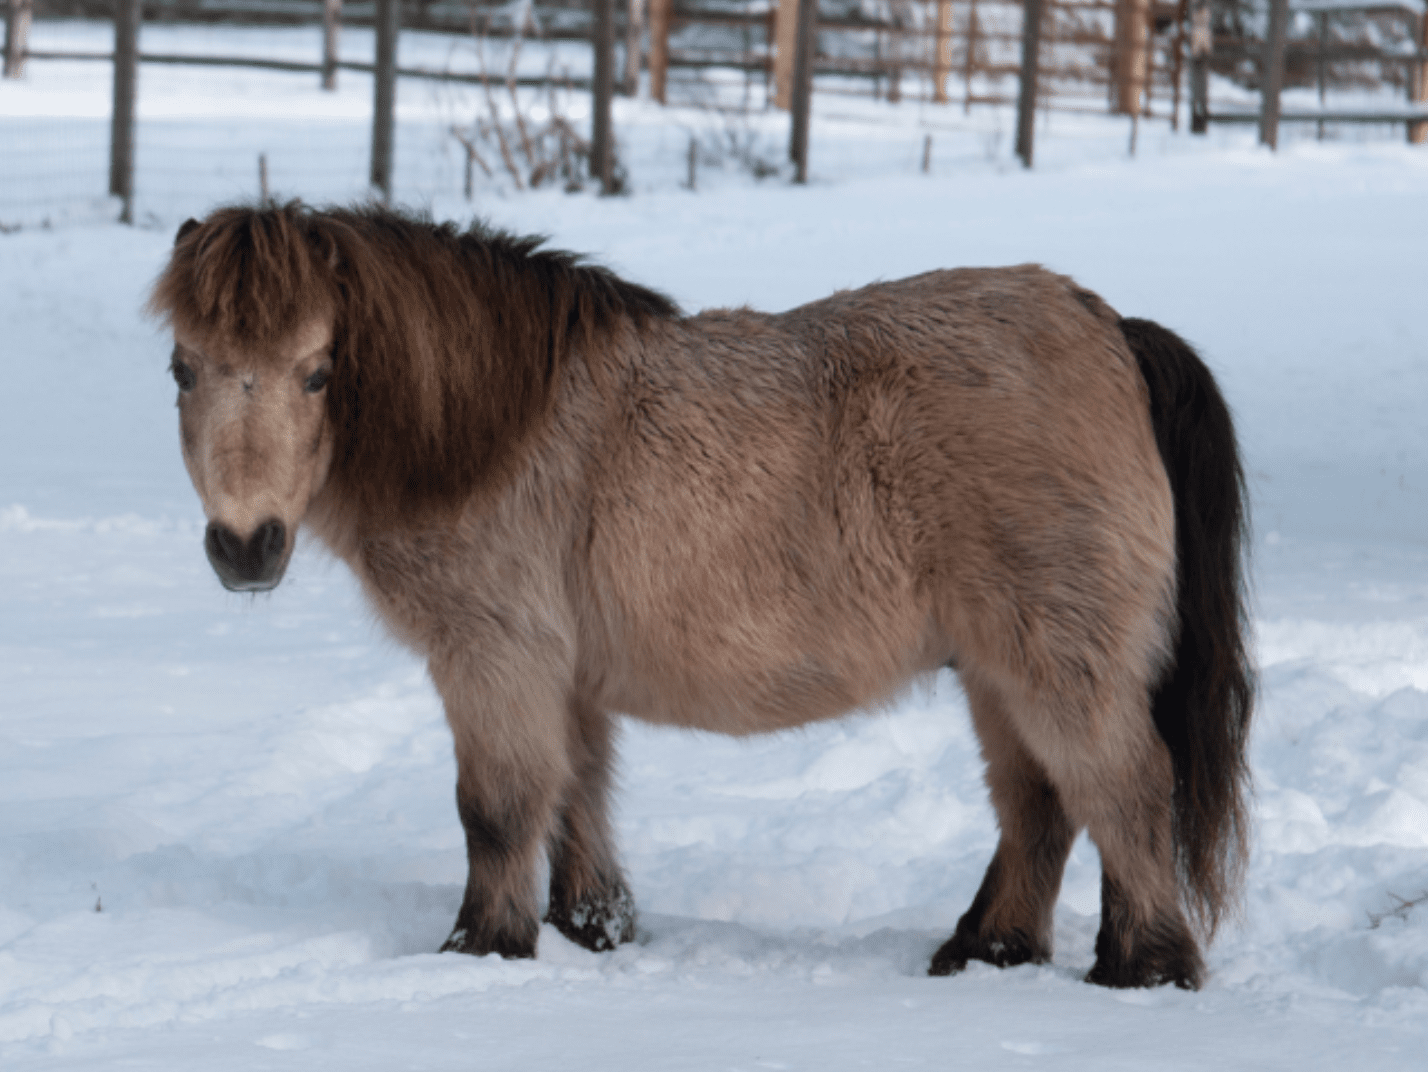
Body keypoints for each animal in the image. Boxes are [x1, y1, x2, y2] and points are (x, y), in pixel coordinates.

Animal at [148, 201, 1253, 990]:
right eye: (182, 367)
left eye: (317, 372)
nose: (245, 547)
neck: (493, 433)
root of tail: (1109, 328)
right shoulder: (565, 673)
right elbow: (578, 795)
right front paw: (593, 931)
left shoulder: (493, 655)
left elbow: (498, 808)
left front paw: (481, 949)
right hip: (997, 666)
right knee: (1040, 806)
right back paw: (987, 953)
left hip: (1056, 659)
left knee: (1123, 789)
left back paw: (1143, 970)